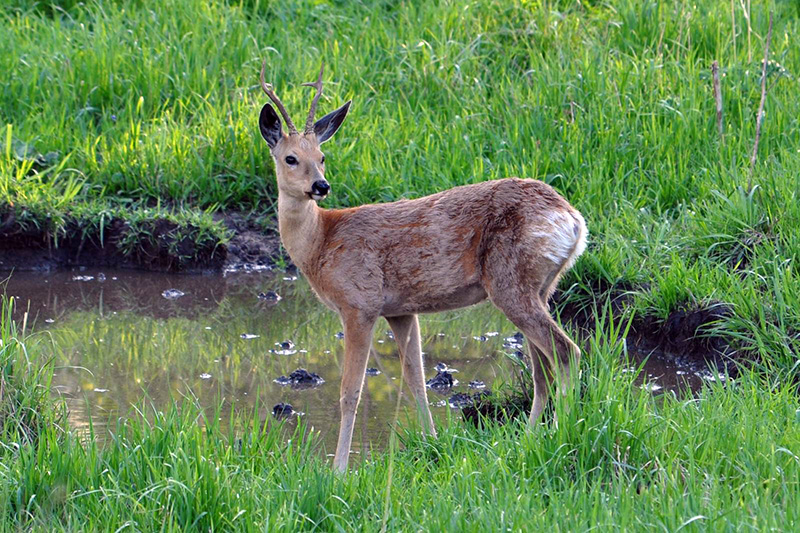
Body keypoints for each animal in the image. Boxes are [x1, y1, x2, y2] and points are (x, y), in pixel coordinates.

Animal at [258, 61, 588, 470]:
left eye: (321, 157)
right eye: (291, 158)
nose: (321, 186)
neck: (321, 242)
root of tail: (573, 219)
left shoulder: (359, 303)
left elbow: (350, 392)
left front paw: (339, 469)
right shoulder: (400, 310)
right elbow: (416, 379)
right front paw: (432, 444)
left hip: (510, 283)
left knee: (565, 352)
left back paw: (562, 433)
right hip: (541, 286)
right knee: (542, 369)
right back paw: (530, 438)